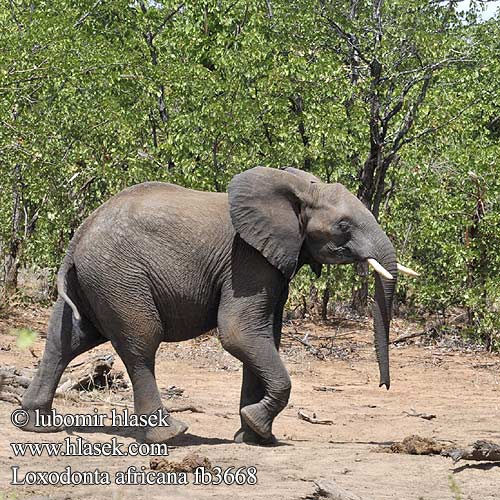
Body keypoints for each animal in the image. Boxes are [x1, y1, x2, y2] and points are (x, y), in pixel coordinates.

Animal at [19, 166, 416, 444]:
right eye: (344, 226)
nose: (384, 386)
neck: (297, 188)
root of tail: (79, 236)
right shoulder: (247, 260)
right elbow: (239, 334)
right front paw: (257, 427)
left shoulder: (271, 264)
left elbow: (264, 337)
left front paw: (256, 438)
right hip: (120, 277)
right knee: (140, 344)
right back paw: (171, 434)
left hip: (95, 280)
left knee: (66, 339)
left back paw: (36, 425)